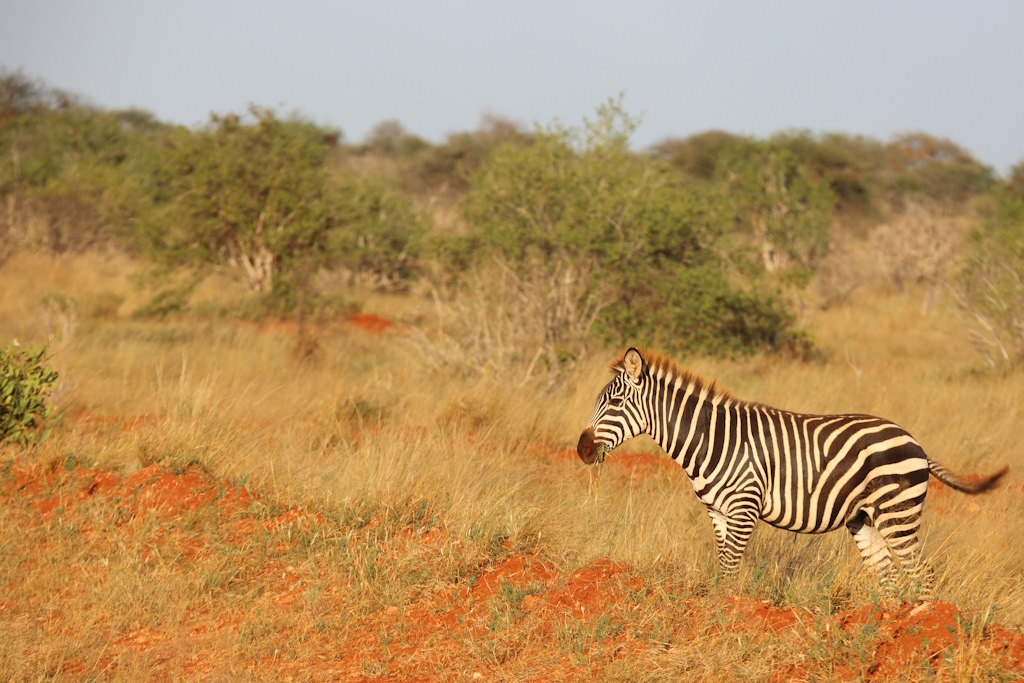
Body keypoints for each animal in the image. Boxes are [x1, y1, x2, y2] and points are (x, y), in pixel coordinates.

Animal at [576, 348, 1008, 598]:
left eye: (615, 402)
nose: (581, 450)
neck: (710, 439)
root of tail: (914, 440)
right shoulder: (716, 512)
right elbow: (722, 565)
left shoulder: (745, 506)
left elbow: (731, 567)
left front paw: (724, 618)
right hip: (864, 518)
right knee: (888, 575)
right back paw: (889, 627)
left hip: (897, 512)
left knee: (922, 574)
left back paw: (919, 626)